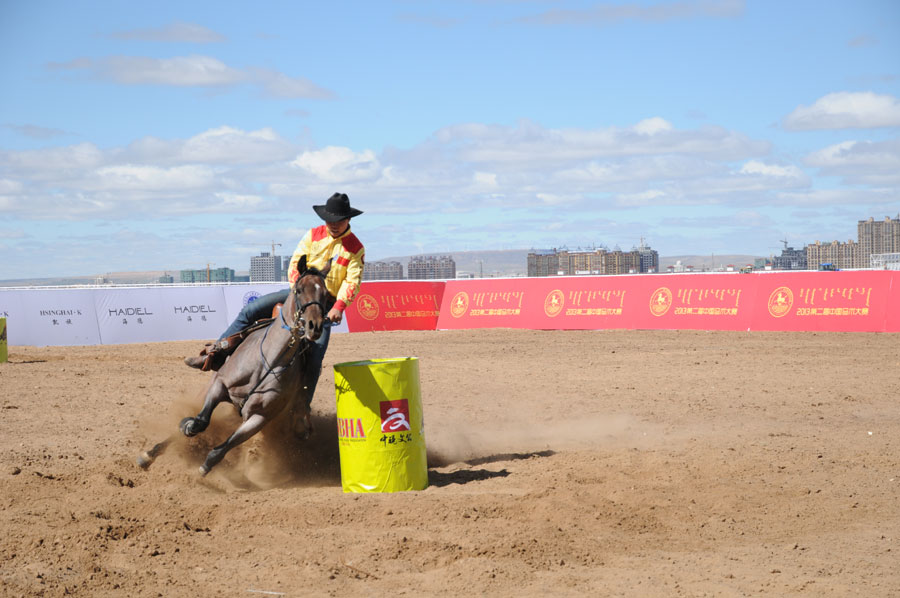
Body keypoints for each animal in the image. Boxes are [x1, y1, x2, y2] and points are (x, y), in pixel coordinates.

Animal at [142, 258, 332, 478]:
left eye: (326, 294)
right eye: (299, 290)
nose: (314, 326)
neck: (268, 362)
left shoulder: (260, 417)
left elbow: (225, 446)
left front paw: (205, 469)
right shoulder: (220, 384)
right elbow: (201, 420)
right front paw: (187, 425)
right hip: (208, 386)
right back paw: (150, 453)